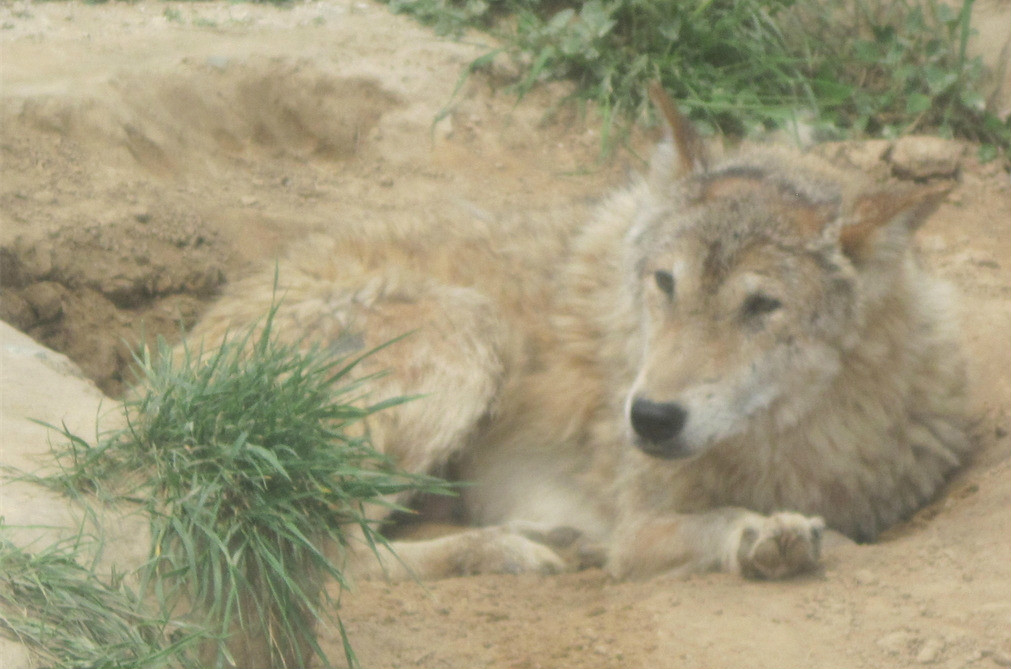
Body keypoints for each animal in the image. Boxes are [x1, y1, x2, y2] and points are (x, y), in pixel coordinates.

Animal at [188, 86, 970, 582]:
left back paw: (544, 538)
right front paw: (763, 535)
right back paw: (515, 551)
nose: (649, 417)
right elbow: (721, 523)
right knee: (326, 554)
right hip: (467, 330)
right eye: (665, 282)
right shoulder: (640, 520)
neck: (800, 435)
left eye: (761, 306)